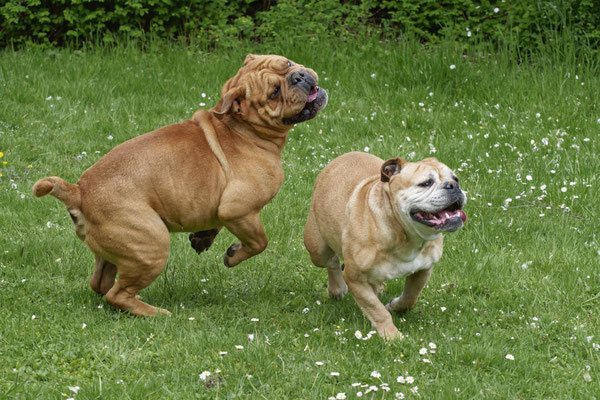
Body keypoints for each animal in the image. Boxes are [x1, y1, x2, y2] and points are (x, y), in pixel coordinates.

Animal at [32, 54, 328, 316]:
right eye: (274, 92)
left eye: (288, 63)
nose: (299, 76)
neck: (241, 126)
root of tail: (79, 191)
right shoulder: (239, 210)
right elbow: (259, 242)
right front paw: (232, 255)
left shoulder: (221, 208)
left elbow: (214, 221)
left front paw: (203, 237)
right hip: (152, 244)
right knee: (117, 295)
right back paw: (154, 312)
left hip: (114, 249)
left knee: (101, 283)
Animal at [302, 152, 466, 340]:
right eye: (426, 183)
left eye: (456, 178)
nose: (453, 186)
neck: (405, 235)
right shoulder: (354, 278)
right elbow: (376, 310)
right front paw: (392, 336)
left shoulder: (424, 269)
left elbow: (411, 296)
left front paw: (395, 306)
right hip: (317, 250)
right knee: (332, 262)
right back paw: (337, 289)